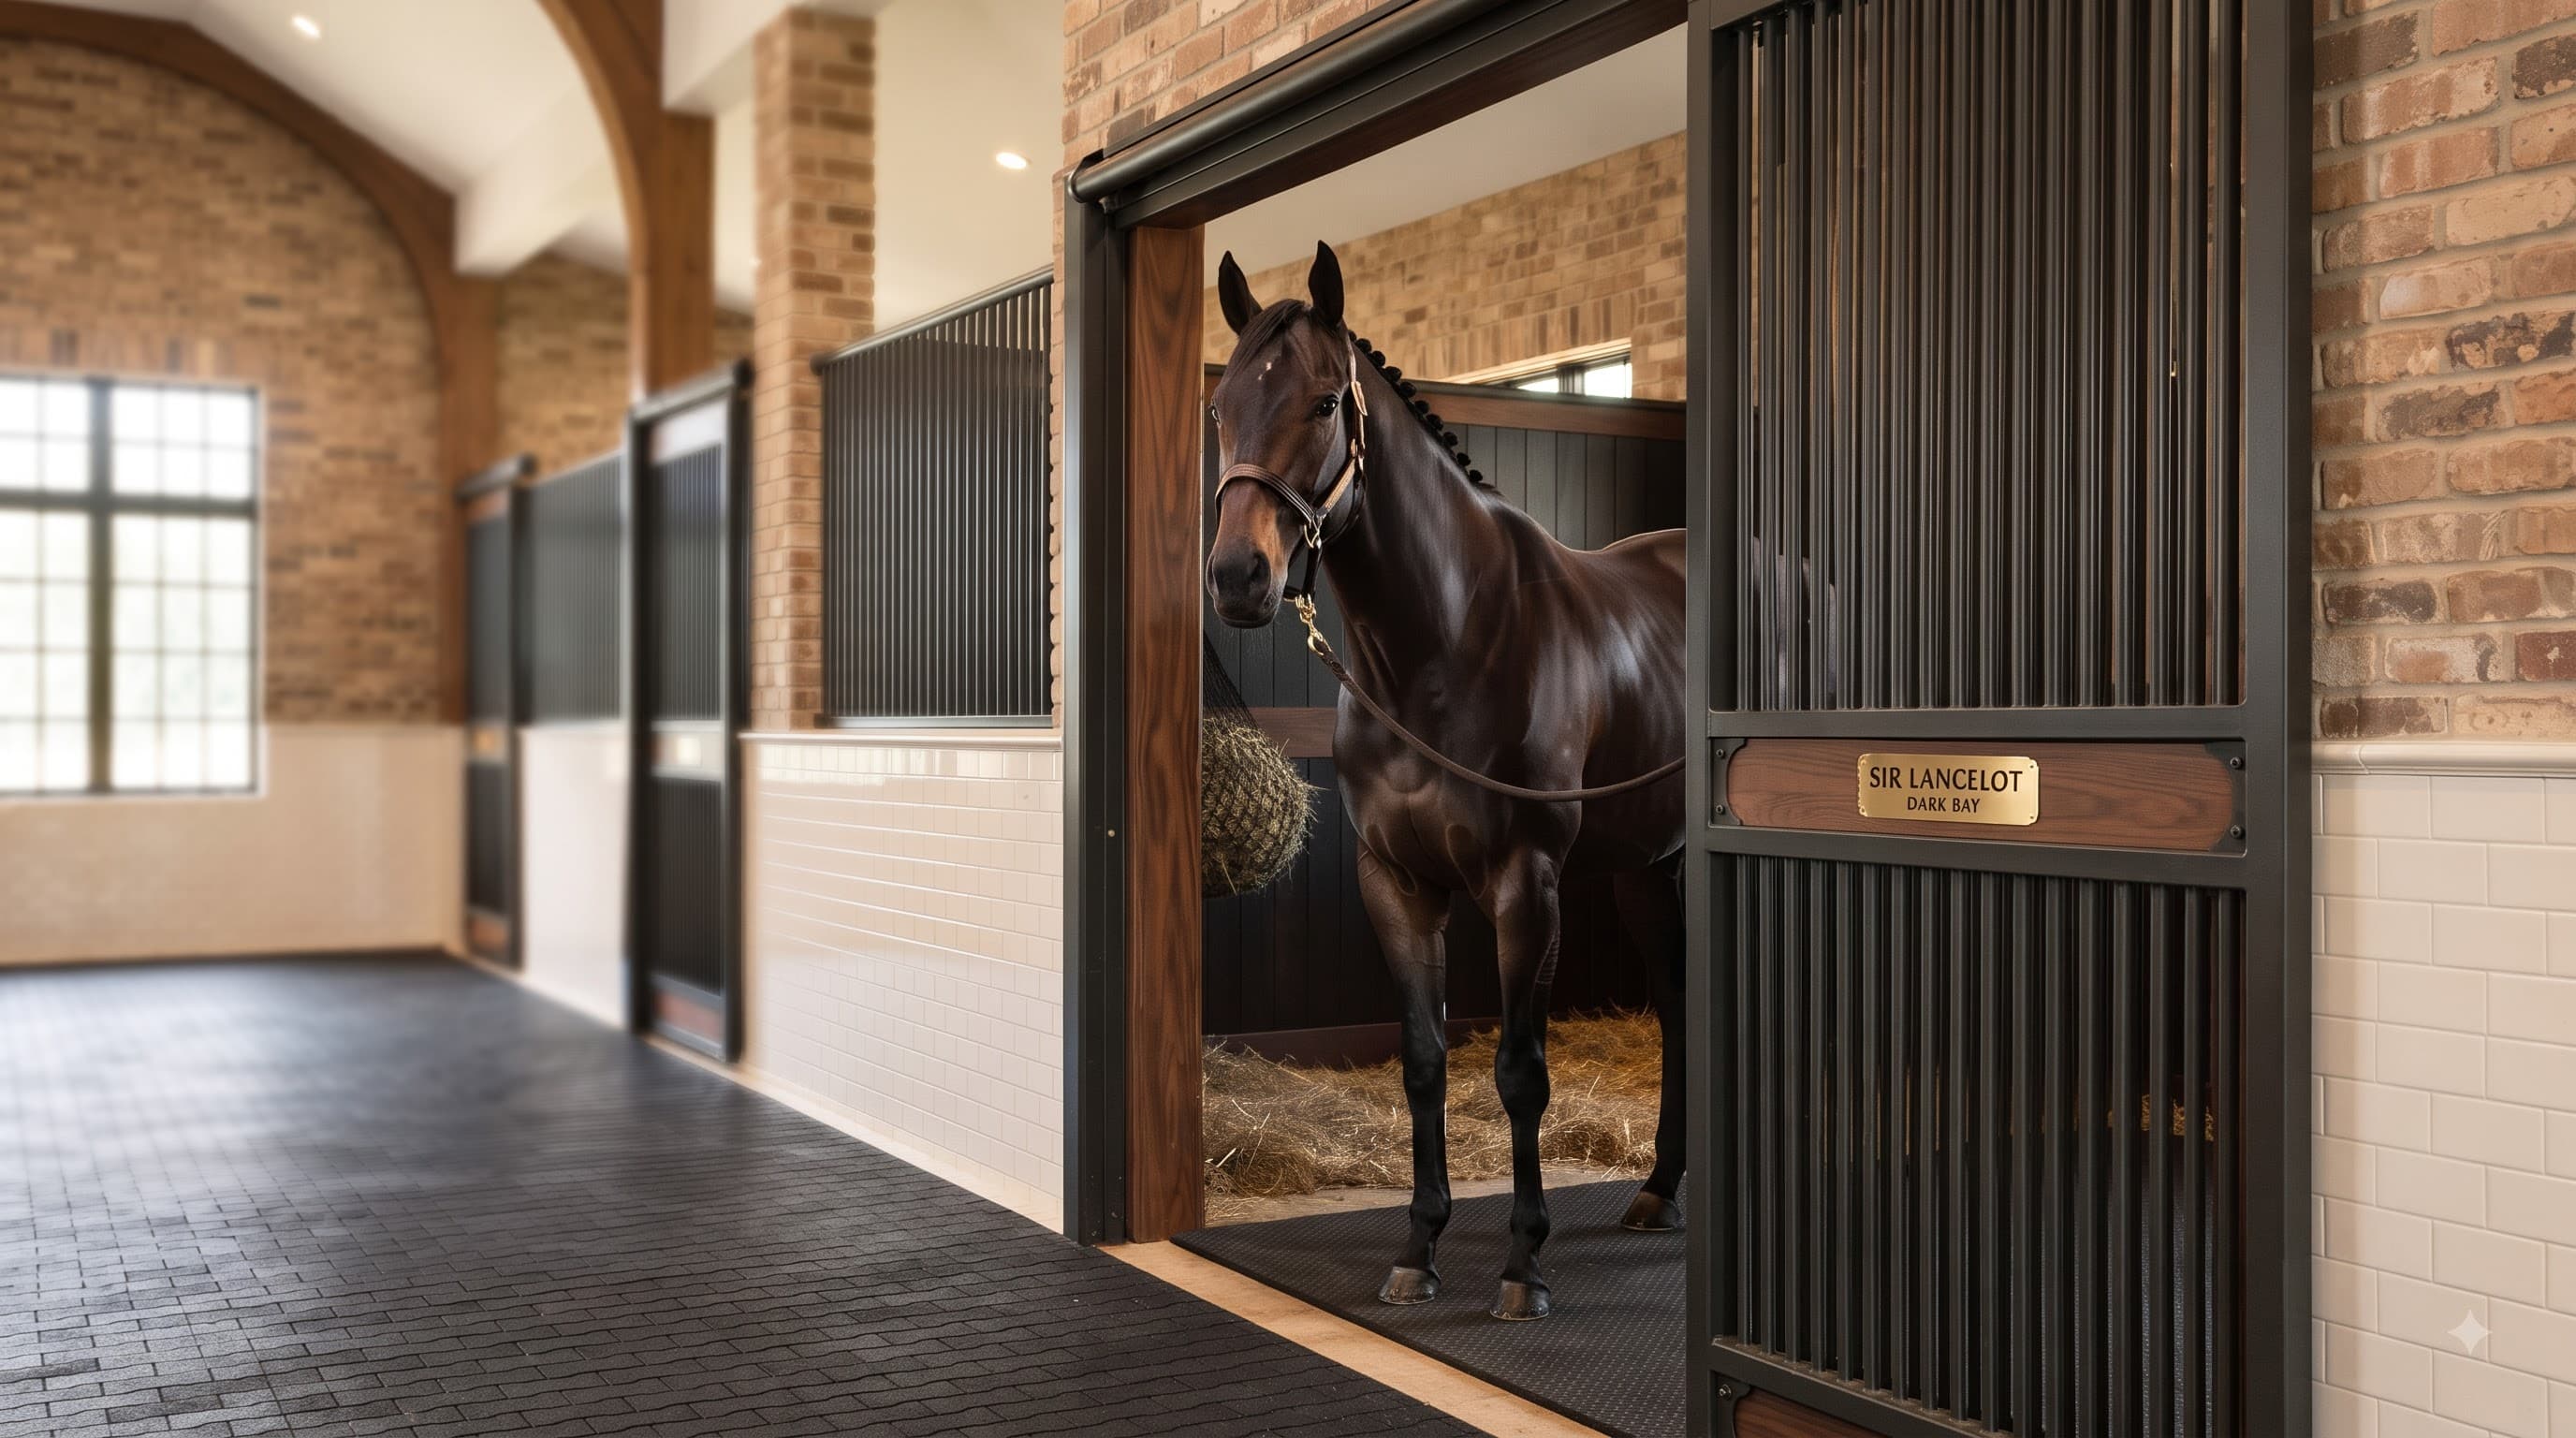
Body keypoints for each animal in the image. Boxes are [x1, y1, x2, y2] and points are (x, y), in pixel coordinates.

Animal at [1203, 241, 1689, 1322]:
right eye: (1219, 409)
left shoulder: (1524, 885)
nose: (1237, 579)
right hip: (1649, 868)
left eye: (1324, 404)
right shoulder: (1398, 882)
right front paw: (1418, 1248)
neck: (1447, 643)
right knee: (1682, 1002)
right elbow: (1424, 1061)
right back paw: (1659, 1191)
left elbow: (1519, 1071)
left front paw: (1521, 1266)